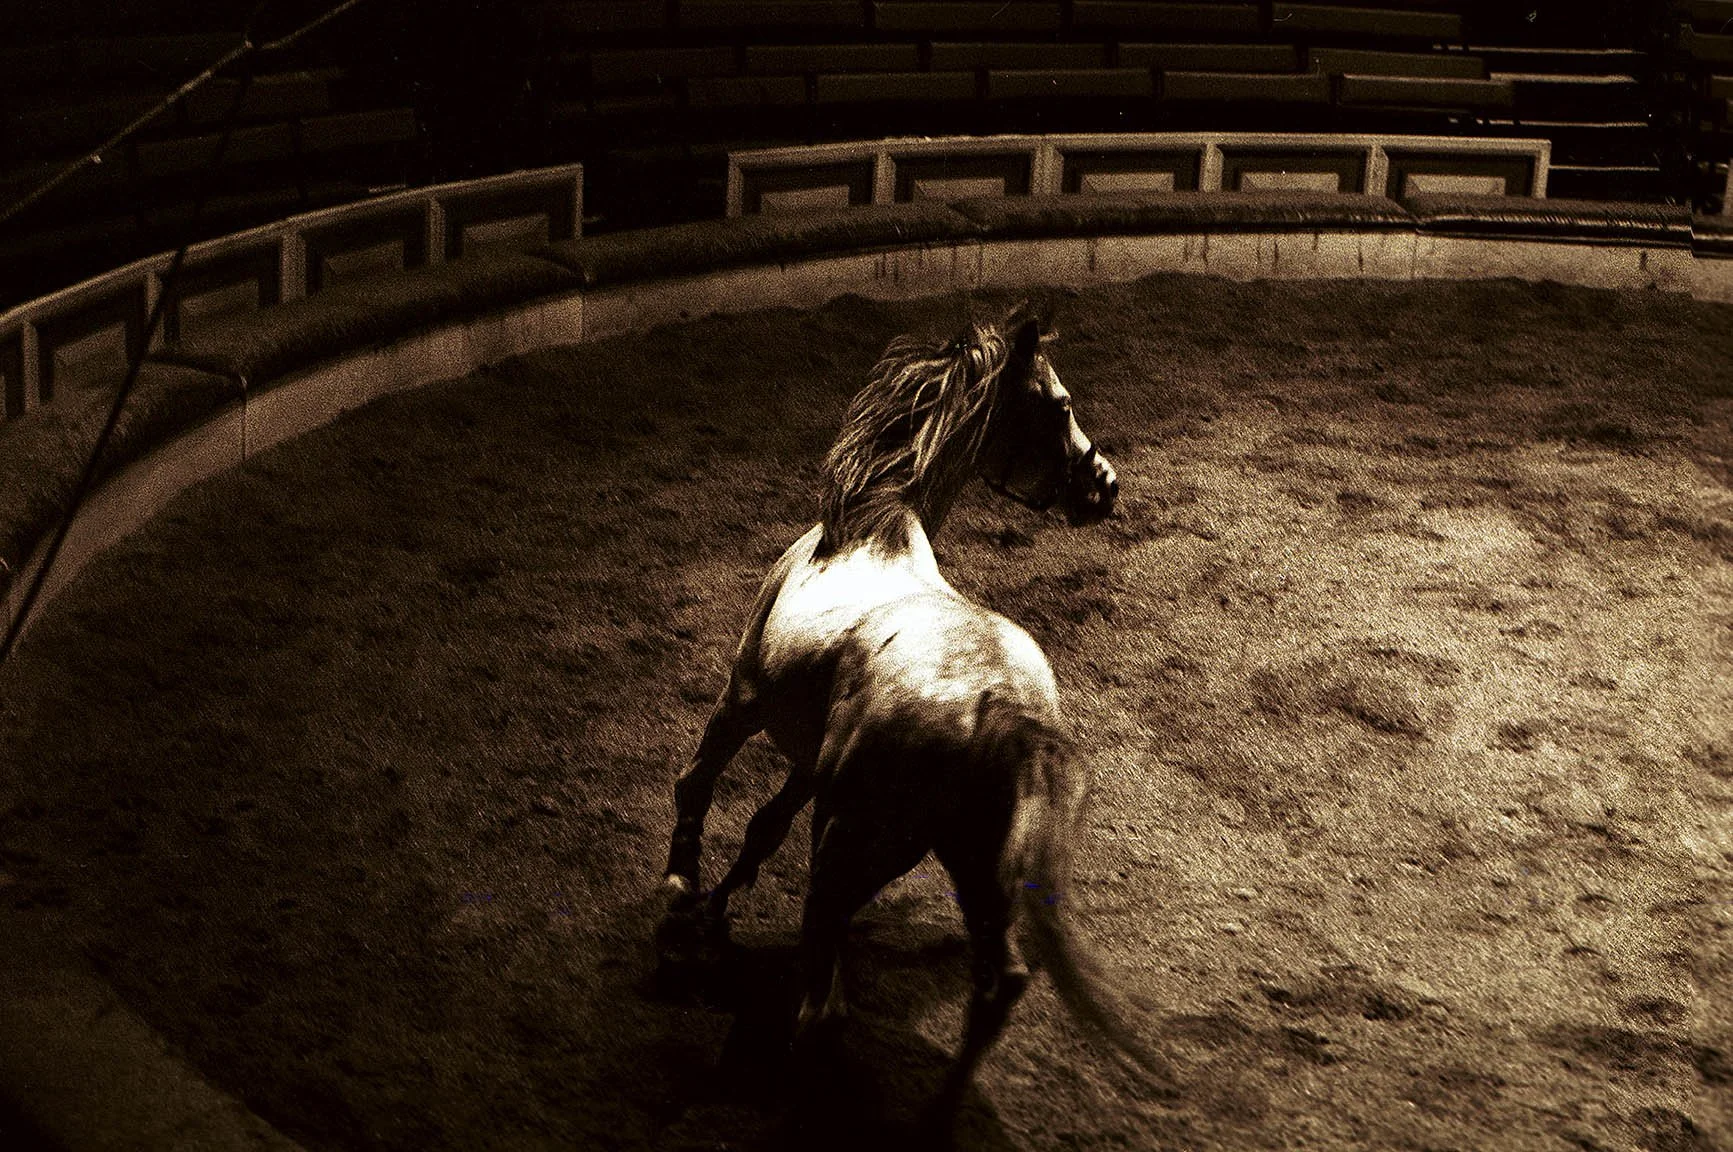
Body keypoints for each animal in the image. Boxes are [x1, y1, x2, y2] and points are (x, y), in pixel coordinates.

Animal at [658, 304, 1168, 1121]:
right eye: (1059, 406)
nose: (1105, 487)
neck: (866, 524)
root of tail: (1006, 712)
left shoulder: (741, 697)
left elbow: (697, 785)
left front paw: (681, 894)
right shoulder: (809, 762)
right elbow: (763, 826)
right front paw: (714, 901)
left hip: (854, 840)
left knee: (825, 996)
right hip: (963, 860)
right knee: (998, 980)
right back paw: (938, 1111)